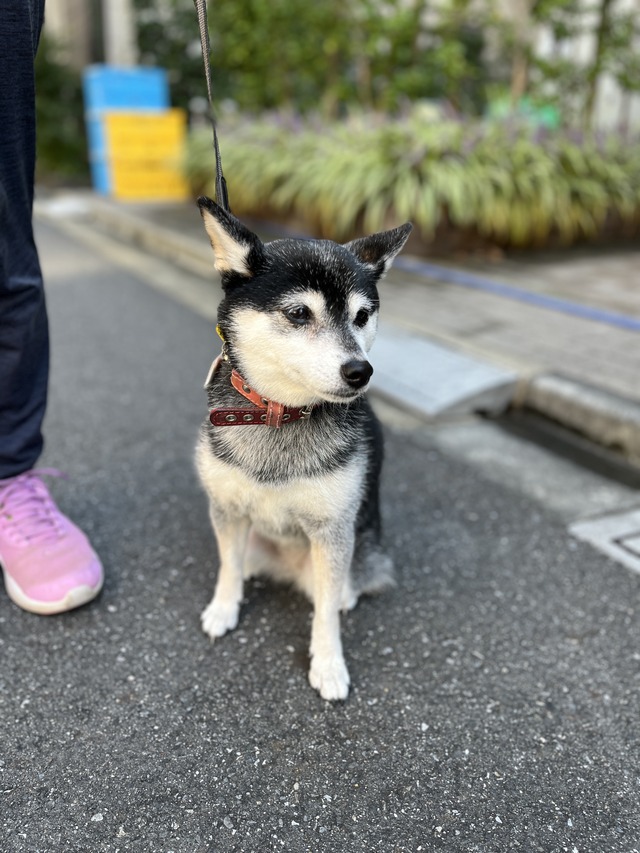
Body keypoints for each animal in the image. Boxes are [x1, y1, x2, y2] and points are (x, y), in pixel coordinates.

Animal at [194, 196, 410, 704]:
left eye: (361, 316)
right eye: (298, 314)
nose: (359, 371)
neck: (282, 414)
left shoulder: (331, 532)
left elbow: (326, 613)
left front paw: (328, 665)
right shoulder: (226, 507)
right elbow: (227, 564)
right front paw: (224, 608)